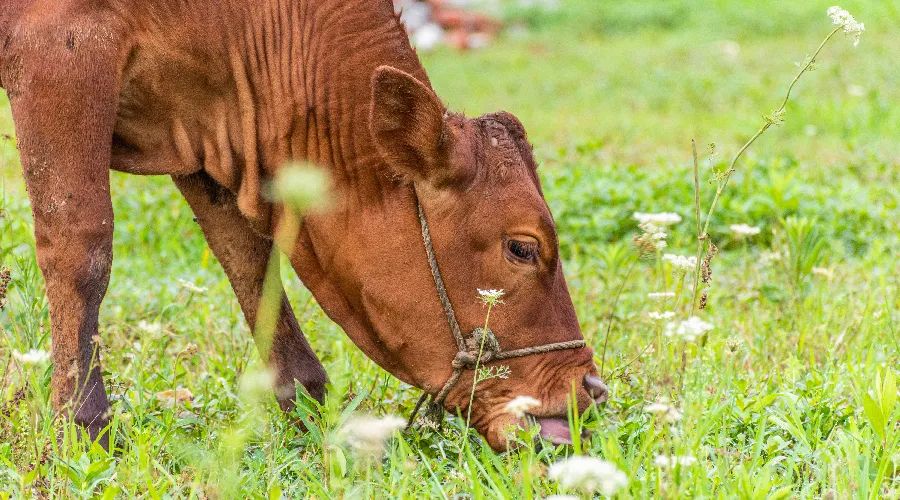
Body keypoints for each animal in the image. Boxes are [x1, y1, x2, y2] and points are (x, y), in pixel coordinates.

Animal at [0, 0, 608, 452]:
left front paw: (307, 401)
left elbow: (250, 260)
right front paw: (83, 427)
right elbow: (81, 248)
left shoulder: (196, 129)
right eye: (522, 248)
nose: (592, 389)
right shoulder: (58, 51)